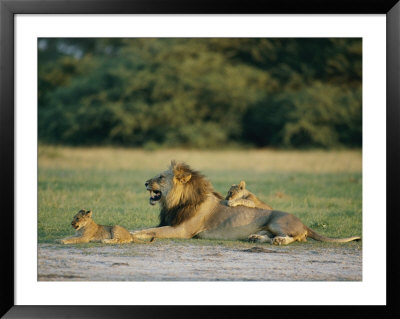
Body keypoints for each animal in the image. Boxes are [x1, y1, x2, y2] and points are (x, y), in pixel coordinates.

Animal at [130, 161, 360, 246]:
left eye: (160, 177)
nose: (145, 183)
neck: (174, 203)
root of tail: (303, 222)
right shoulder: (168, 223)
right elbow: (147, 227)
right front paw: (130, 231)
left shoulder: (182, 230)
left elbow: (153, 232)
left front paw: (134, 235)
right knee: (270, 236)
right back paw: (256, 237)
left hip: (278, 221)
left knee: (297, 237)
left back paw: (280, 241)